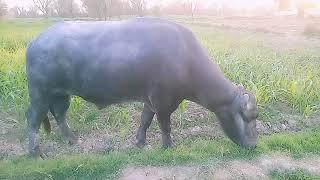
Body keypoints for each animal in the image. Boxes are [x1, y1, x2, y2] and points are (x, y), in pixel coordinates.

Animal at [26, 17, 258, 157]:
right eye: (248, 117)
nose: (254, 145)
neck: (186, 60)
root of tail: (36, 41)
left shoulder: (150, 101)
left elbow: (145, 120)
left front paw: (140, 142)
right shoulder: (164, 103)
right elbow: (165, 126)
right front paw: (168, 147)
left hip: (60, 95)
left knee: (59, 114)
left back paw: (72, 140)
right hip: (39, 94)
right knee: (33, 120)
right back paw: (35, 152)